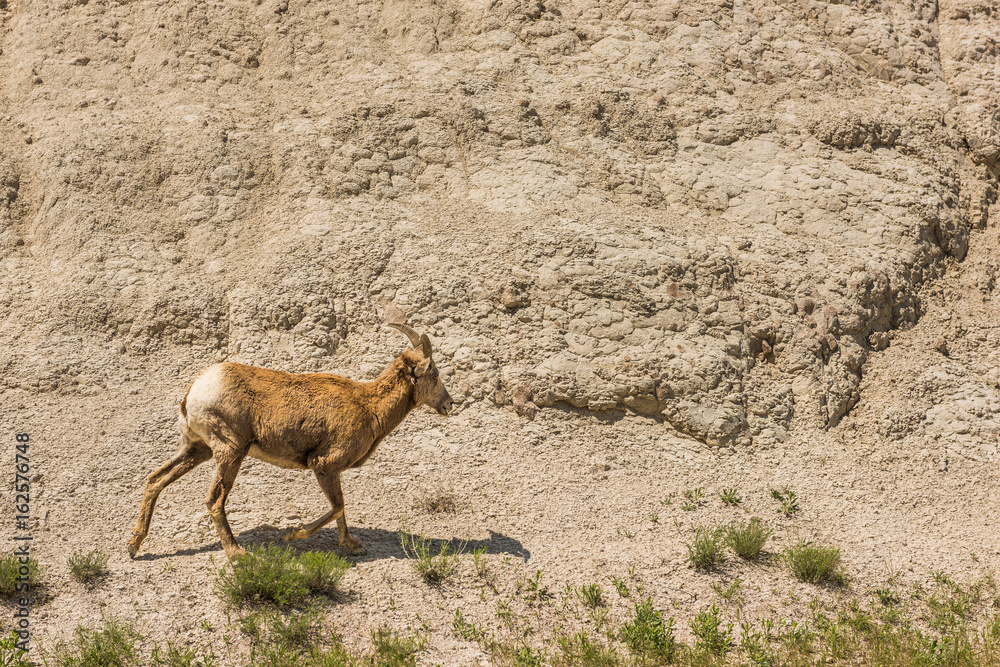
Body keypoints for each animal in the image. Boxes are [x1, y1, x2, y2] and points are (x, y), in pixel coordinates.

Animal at [126, 323, 453, 560]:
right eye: (434, 373)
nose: (449, 404)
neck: (368, 406)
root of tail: (194, 391)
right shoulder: (324, 465)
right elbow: (338, 507)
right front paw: (291, 535)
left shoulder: (331, 471)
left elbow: (341, 508)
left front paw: (351, 545)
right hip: (230, 451)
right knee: (214, 500)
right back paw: (237, 554)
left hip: (198, 449)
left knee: (155, 479)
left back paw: (133, 545)